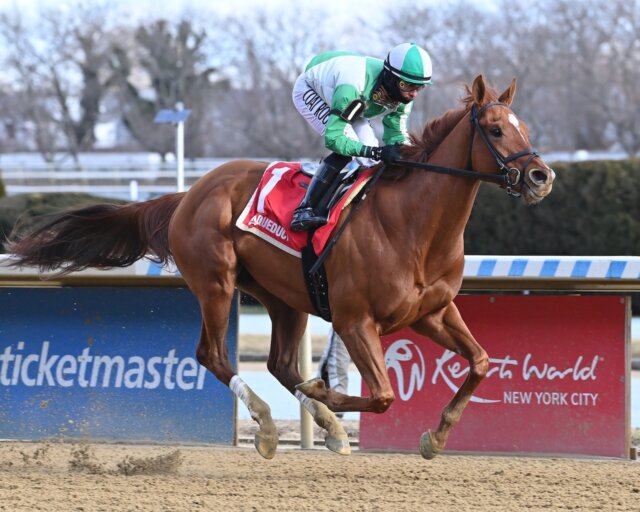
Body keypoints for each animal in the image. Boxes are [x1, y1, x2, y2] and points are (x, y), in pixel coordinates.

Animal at [6, 75, 556, 460]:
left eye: (527, 128)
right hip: (216, 282)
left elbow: (481, 362)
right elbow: (381, 394)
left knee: (280, 364)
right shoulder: (355, 321)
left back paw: (327, 428)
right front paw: (326, 393)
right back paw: (269, 424)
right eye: (495, 129)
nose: (540, 176)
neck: (413, 225)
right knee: (213, 355)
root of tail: (190, 193)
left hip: (285, 298)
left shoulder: (432, 314)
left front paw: (434, 437)